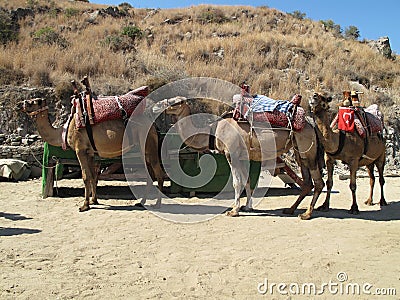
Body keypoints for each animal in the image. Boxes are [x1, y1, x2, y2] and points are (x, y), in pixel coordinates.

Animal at [17, 78, 164, 212]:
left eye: (32, 102)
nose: (19, 104)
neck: (65, 129)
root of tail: (152, 123)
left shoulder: (80, 149)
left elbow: (85, 176)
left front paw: (84, 205)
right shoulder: (90, 152)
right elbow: (93, 176)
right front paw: (94, 200)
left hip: (148, 142)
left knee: (158, 172)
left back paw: (157, 204)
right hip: (144, 149)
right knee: (150, 175)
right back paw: (141, 202)